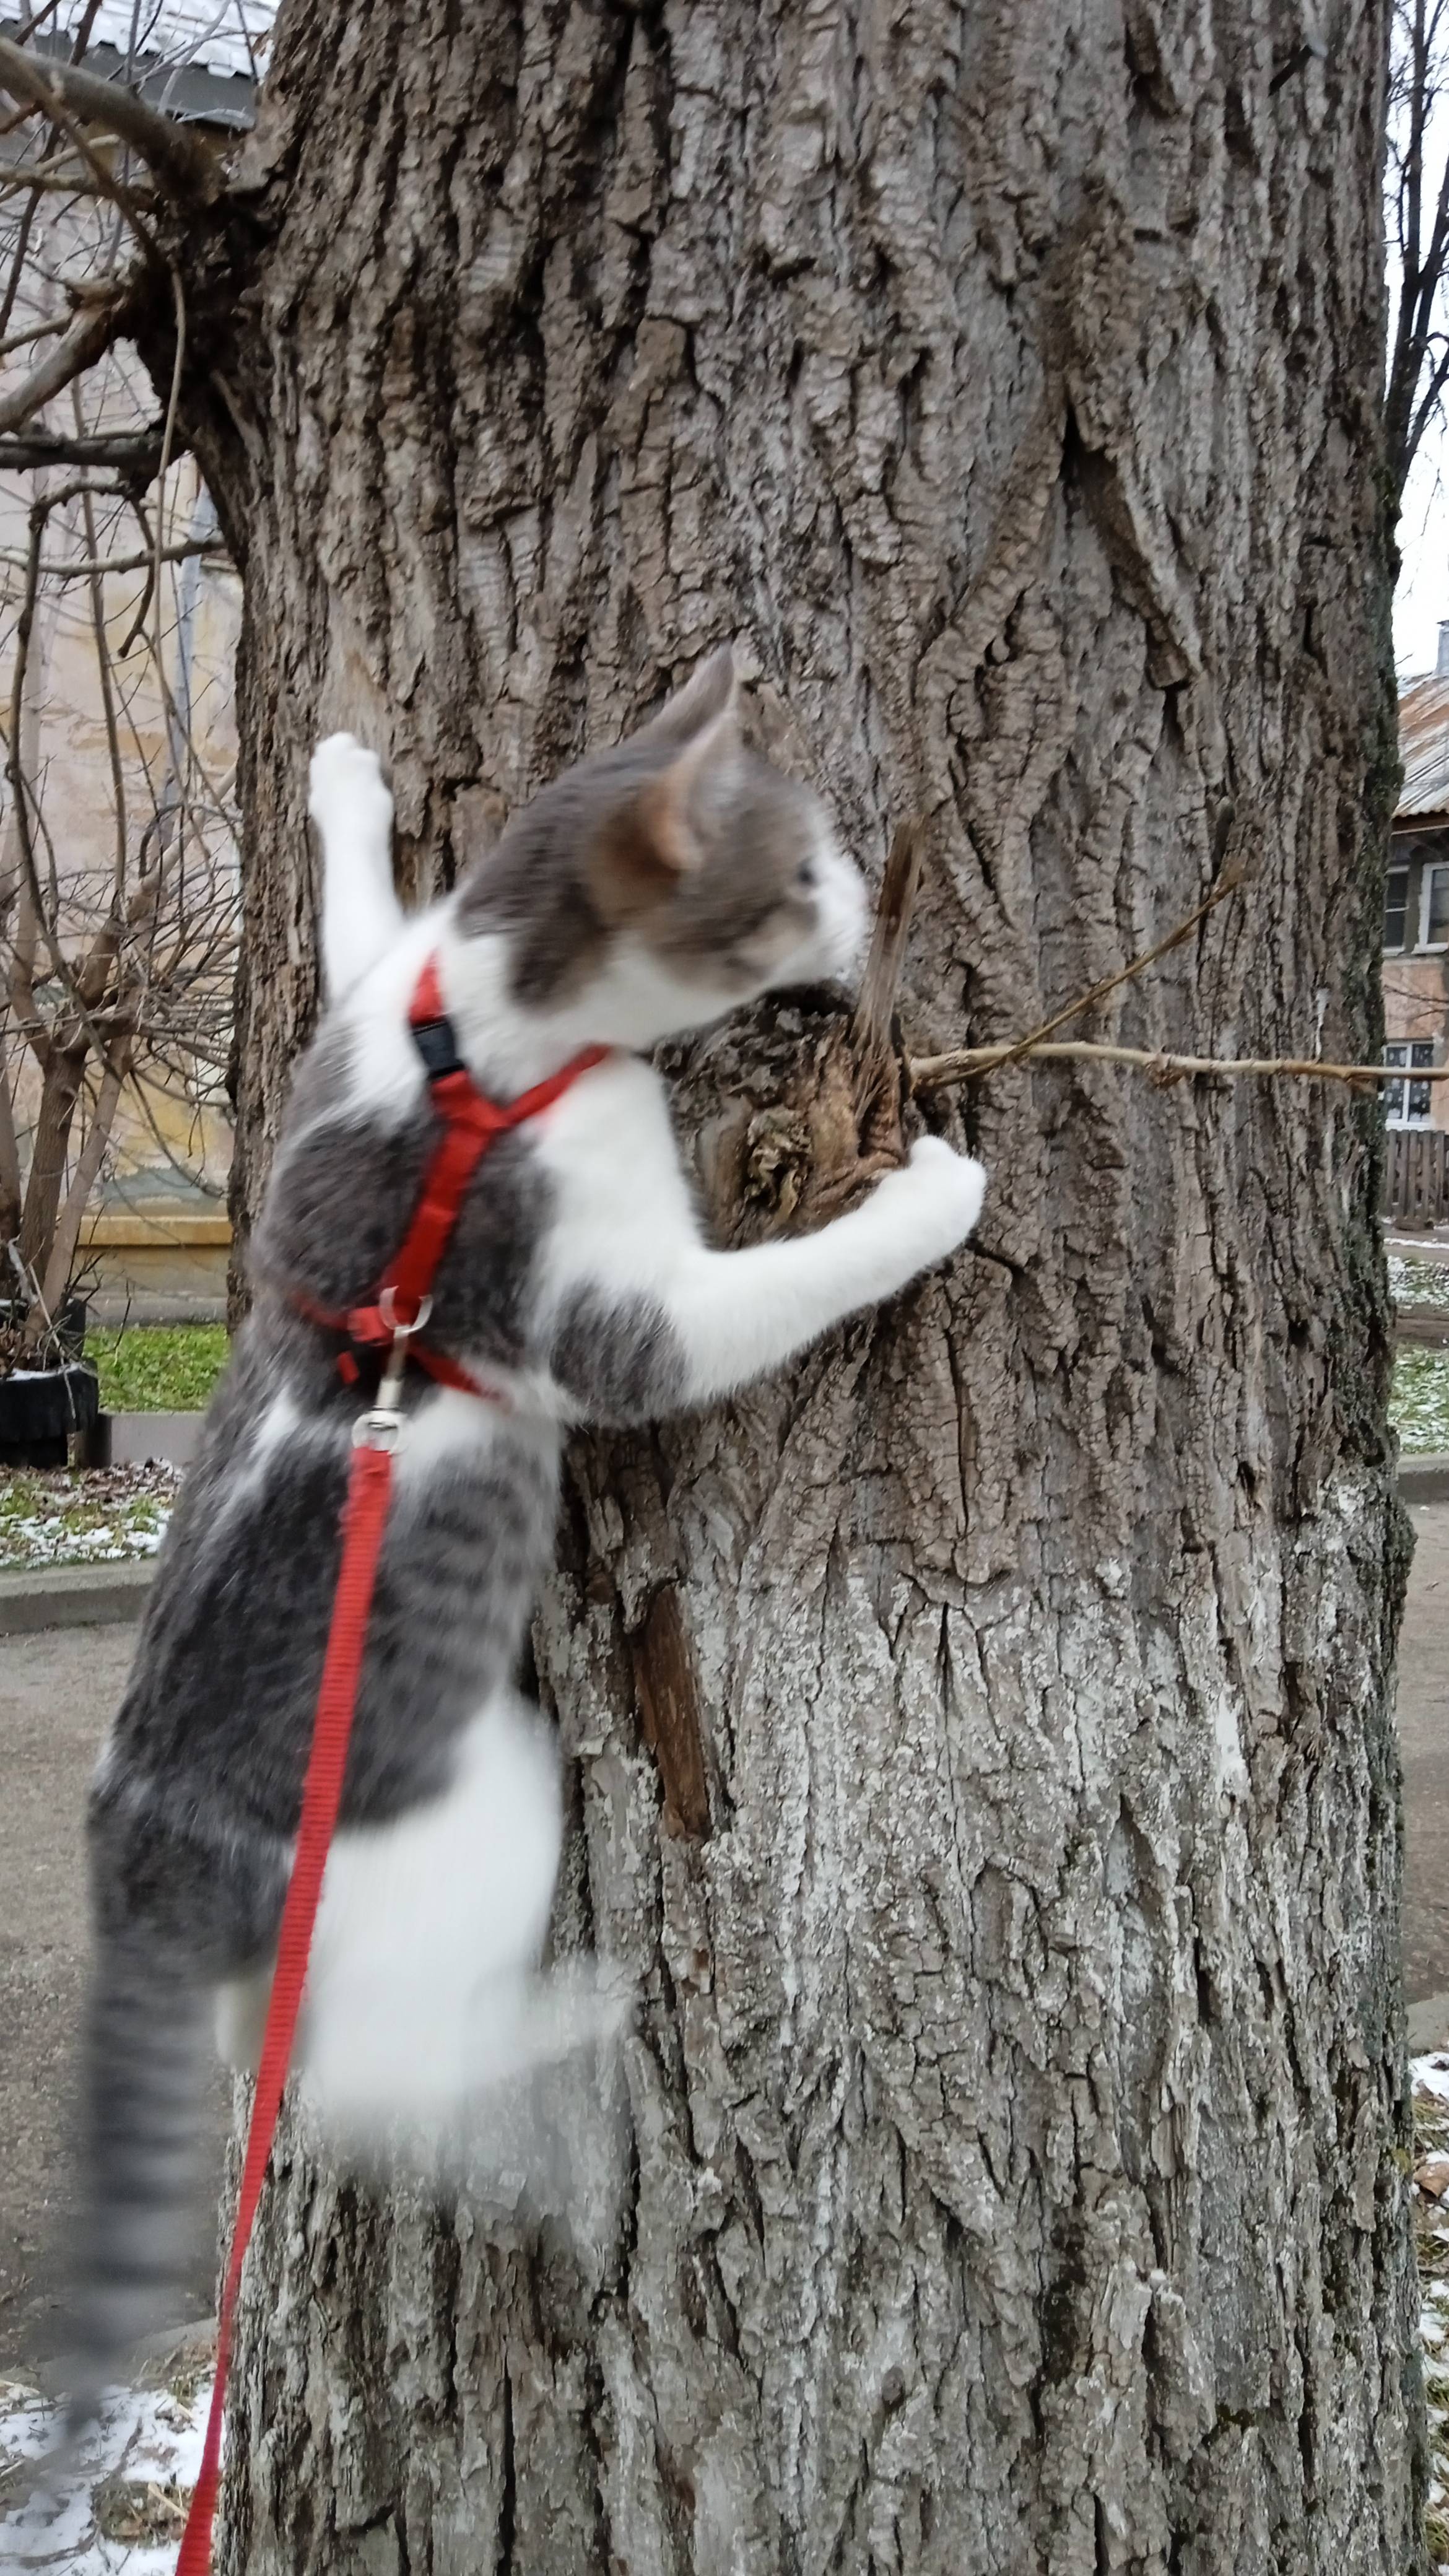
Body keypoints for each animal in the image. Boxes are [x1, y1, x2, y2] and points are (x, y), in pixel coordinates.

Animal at [73, 644, 985, 2411]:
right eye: (801, 872)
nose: (865, 892)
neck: (484, 1039)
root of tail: (146, 1849)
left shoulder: (365, 1004)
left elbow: (364, 921)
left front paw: (347, 784)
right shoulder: (609, 1320)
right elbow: (762, 1294)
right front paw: (931, 1201)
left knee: (275, 2048)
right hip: (484, 1800)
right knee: (377, 2080)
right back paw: (572, 2026)